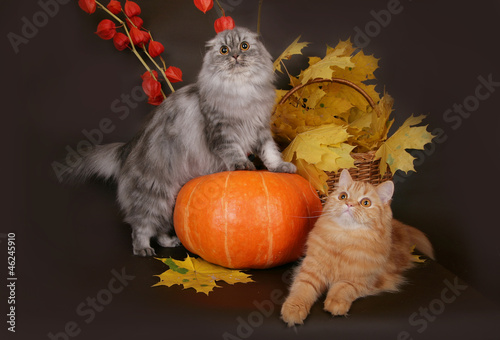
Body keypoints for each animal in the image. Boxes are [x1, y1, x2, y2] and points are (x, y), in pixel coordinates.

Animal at [70, 27, 296, 255]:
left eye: (244, 46)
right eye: (224, 50)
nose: (235, 56)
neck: (241, 91)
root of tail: (128, 148)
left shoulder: (261, 130)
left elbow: (270, 153)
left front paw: (280, 167)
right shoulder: (221, 131)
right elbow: (234, 152)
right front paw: (242, 165)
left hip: (169, 200)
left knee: (159, 229)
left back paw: (170, 242)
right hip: (154, 195)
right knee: (141, 226)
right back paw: (143, 249)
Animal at [282, 169, 434, 326]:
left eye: (366, 203)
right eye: (343, 196)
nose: (349, 204)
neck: (344, 238)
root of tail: (401, 226)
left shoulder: (359, 280)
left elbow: (342, 288)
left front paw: (335, 303)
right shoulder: (310, 271)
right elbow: (301, 290)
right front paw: (293, 310)